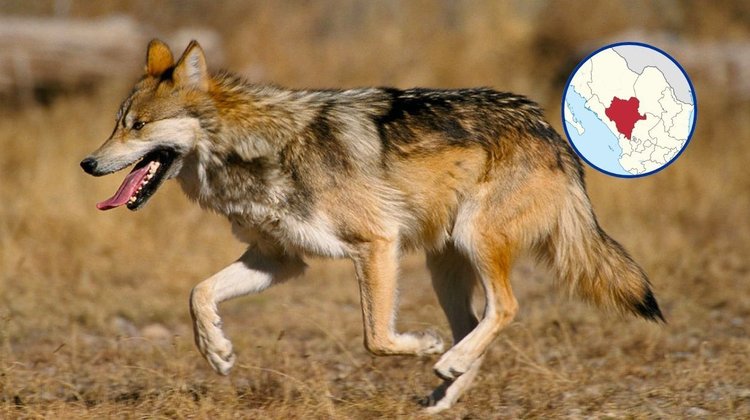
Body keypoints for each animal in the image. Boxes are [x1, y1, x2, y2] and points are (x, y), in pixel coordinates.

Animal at [81, 40, 663, 412]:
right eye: (116, 124)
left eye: (138, 126)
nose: (87, 163)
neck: (256, 149)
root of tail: (550, 131)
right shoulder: (279, 260)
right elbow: (198, 293)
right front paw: (217, 351)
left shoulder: (376, 244)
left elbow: (376, 338)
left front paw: (422, 345)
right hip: (443, 266)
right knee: (476, 324)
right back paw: (445, 389)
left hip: (472, 242)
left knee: (505, 308)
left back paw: (445, 360)